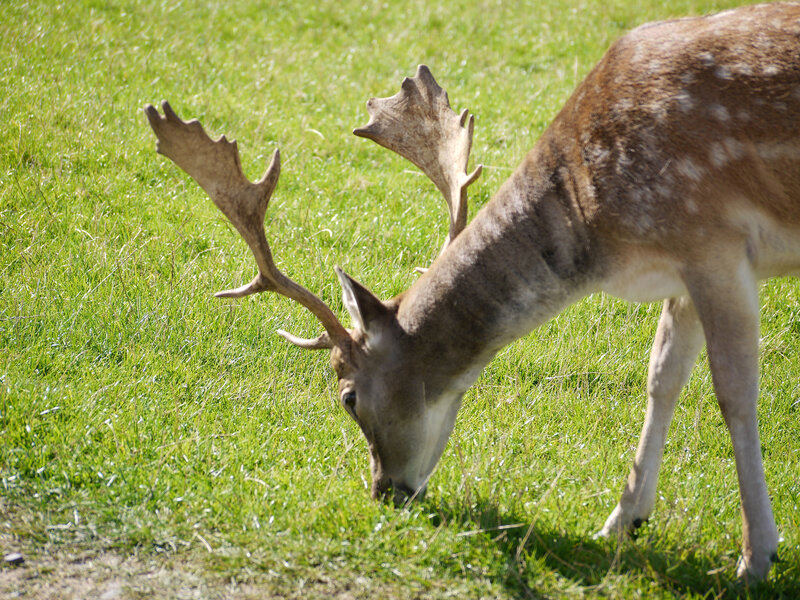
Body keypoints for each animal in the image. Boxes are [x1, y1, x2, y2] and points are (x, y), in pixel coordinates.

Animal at [145, 2, 800, 579]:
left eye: (347, 398)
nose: (384, 492)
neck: (605, 228)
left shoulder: (712, 238)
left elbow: (734, 393)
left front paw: (756, 555)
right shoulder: (681, 268)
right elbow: (662, 377)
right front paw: (621, 522)